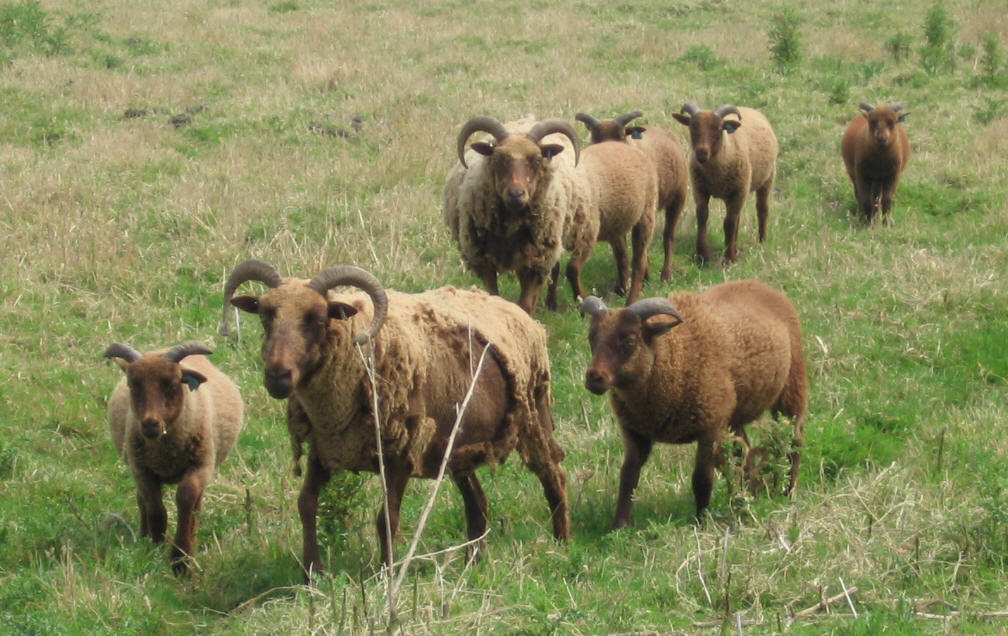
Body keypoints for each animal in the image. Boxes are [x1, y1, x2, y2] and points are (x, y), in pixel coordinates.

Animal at [103, 340, 242, 576]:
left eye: (172, 384)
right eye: (133, 385)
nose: (150, 424)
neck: (164, 450)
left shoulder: (200, 467)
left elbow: (186, 500)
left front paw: (181, 559)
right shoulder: (142, 470)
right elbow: (155, 508)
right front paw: (156, 546)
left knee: (196, 506)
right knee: (143, 501)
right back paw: (144, 535)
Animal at [580, 278, 806, 528]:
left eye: (630, 340)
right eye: (592, 337)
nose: (594, 378)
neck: (673, 354)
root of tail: (760, 284)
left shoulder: (709, 427)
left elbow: (702, 478)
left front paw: (702, 521)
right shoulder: (634, 431)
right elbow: (628, 475)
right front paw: (619, 525)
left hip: (791, 387)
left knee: (793, 443)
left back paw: (787, 492)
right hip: (732, 413)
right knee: (741, 450)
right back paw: (743, 495)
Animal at [677, 103, 778, 266]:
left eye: (719, 129)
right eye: (692, 127)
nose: (701, 153)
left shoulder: (738, 191)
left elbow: (729, 223)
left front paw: (729, 257)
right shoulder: (700, 189)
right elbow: (702, 217)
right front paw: (703, 255)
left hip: (767, 178)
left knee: (761, 209)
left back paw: (761, 240)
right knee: (737, 217)